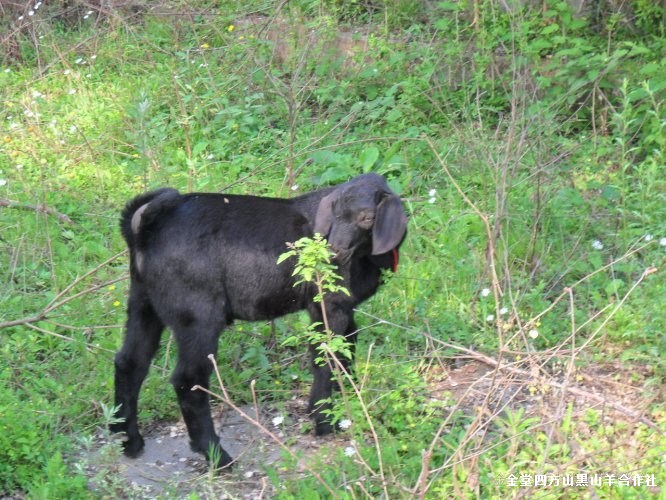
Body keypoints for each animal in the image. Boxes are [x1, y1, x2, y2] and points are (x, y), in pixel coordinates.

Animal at [110, 173, 404, 468]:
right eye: (334, 213)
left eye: (367, 218)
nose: (332, 252)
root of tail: (147, 223)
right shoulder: (329, 304)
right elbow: (327, 356)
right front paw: (324, 422)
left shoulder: (341, 307)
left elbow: (346, 349)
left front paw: (347, 402)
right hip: (197, 315)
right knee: (188, 379)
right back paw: (216, 455)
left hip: (143, 302)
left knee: (130, 362)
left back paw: (128, 440)